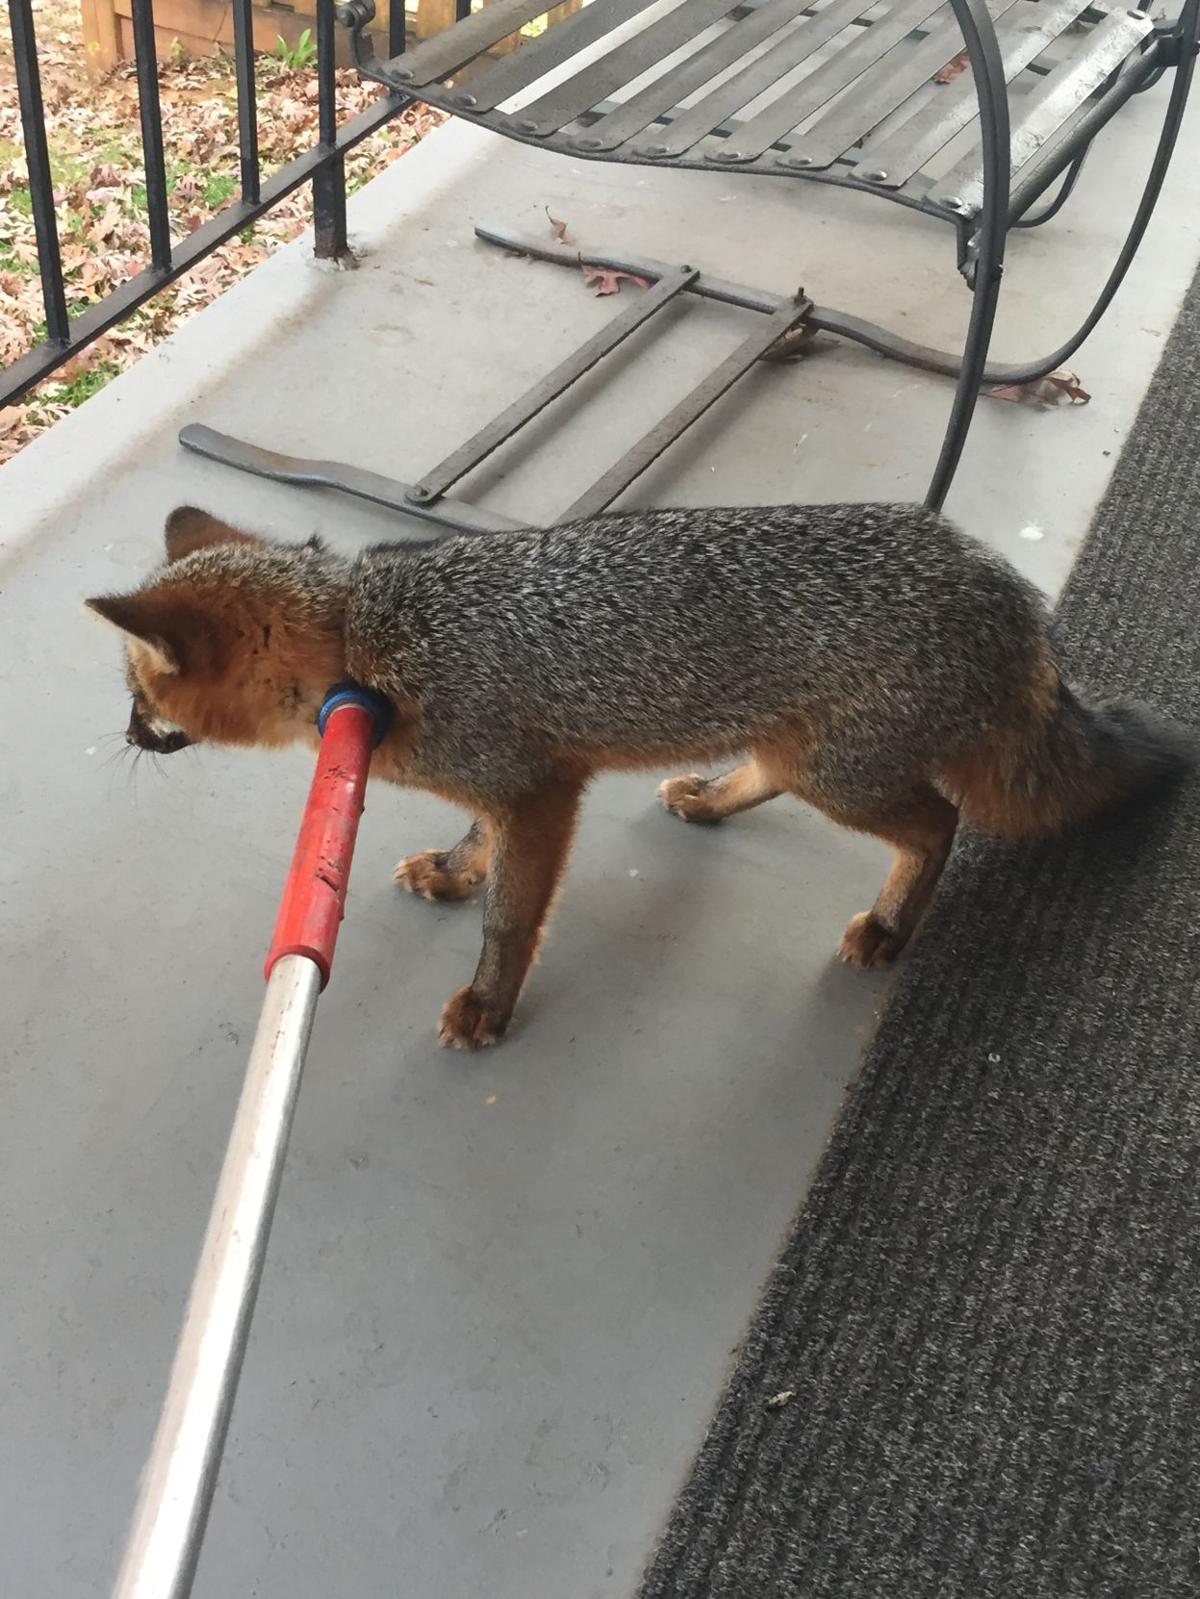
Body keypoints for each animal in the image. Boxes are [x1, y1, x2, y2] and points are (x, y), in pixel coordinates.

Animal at [86, 502, 1191, 1050]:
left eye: (140, 697)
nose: (123, 739)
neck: (365, 637)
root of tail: (1011, 588)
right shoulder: (518, 779)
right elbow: (481, 846)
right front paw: (453, 870)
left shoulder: (539, 790)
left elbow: (513, 919)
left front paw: (488, 1005)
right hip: (802, 749)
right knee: (779, 776)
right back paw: (708, 795)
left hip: (844, 775)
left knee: (940, 825)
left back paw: (889, 923)